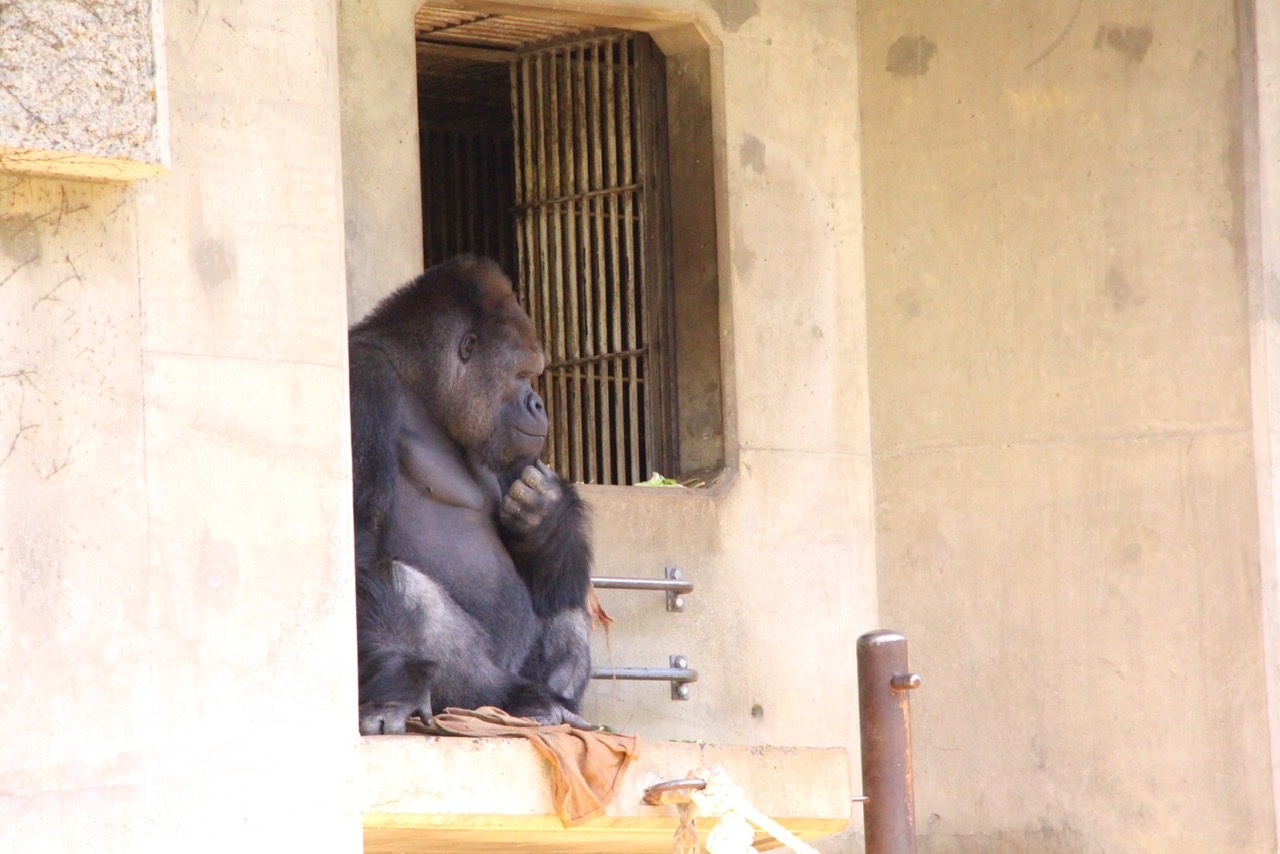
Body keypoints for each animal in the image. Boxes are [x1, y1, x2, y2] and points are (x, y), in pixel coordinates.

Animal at [348, 256, 591, 737]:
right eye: (521, 375)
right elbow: (362, 546)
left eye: (534, 375)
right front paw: (393, 689)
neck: (418, 382)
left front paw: (548, 516)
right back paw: (515, 699)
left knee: (563, 591)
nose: (538, 404)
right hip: (464, 696)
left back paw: (557, 697)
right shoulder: (362, 382)